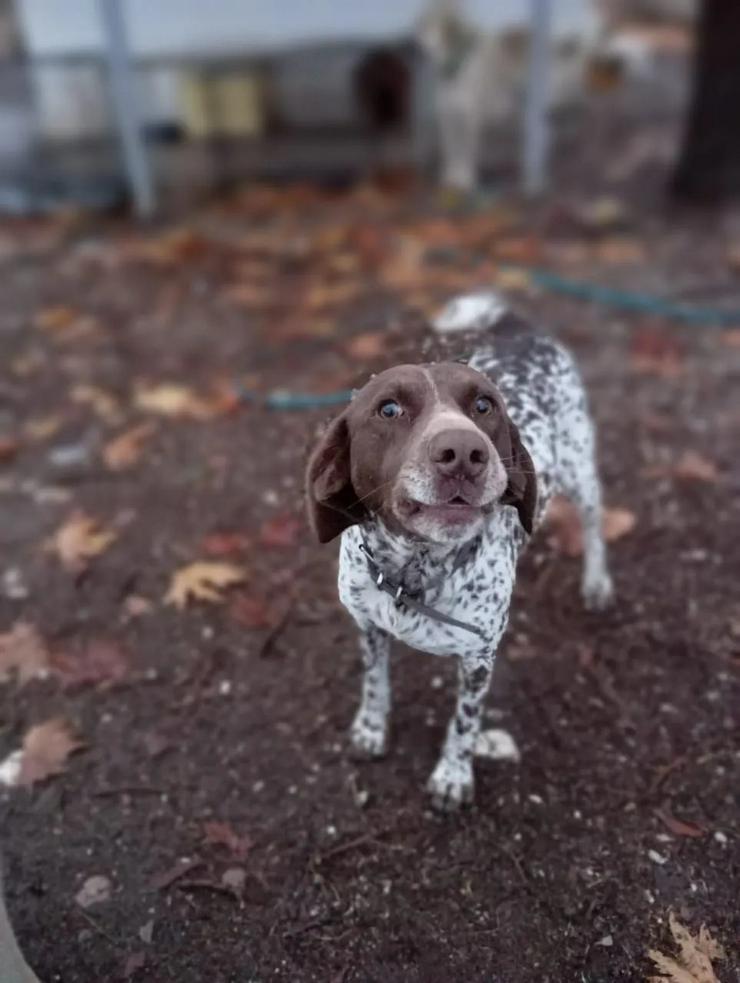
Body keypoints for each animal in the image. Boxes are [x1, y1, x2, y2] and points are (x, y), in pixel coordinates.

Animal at [306, 290, 612, 808]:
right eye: (389, 409)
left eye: (484, 405)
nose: (465, 453)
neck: (413, 571)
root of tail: (517, 327)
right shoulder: (368, 626)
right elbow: (375, 682)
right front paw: (371, 729)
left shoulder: (478, 660)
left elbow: (464, 724)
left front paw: (452, 775)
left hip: (580, 470)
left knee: (593, 523)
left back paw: (597, 582)